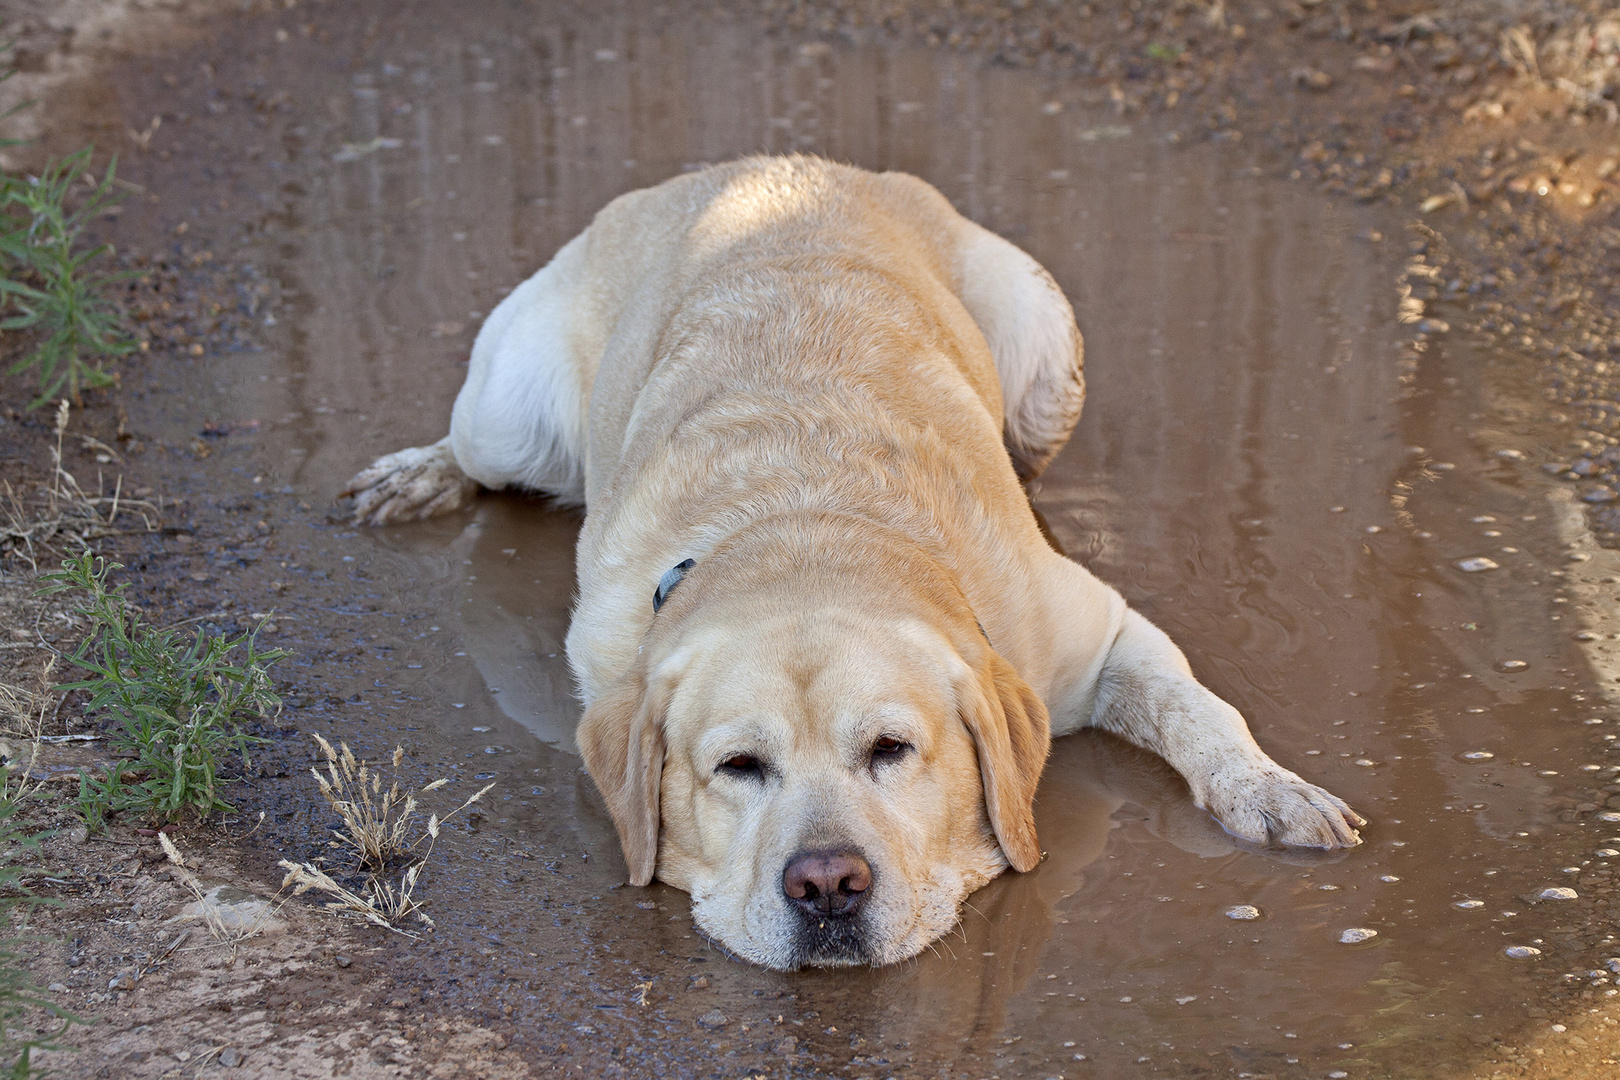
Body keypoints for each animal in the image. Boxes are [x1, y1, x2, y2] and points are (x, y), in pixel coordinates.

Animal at [348, 152, 1360, 971]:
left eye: (891, 751)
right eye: (739, 767)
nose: (827, 883)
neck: (808, 519)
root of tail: (761, 162)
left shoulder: (1101, 633)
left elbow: (1199, 709)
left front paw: (1267, 789)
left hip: (1046, 358)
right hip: (507, 412)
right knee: (470, 446)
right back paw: (421, 472)